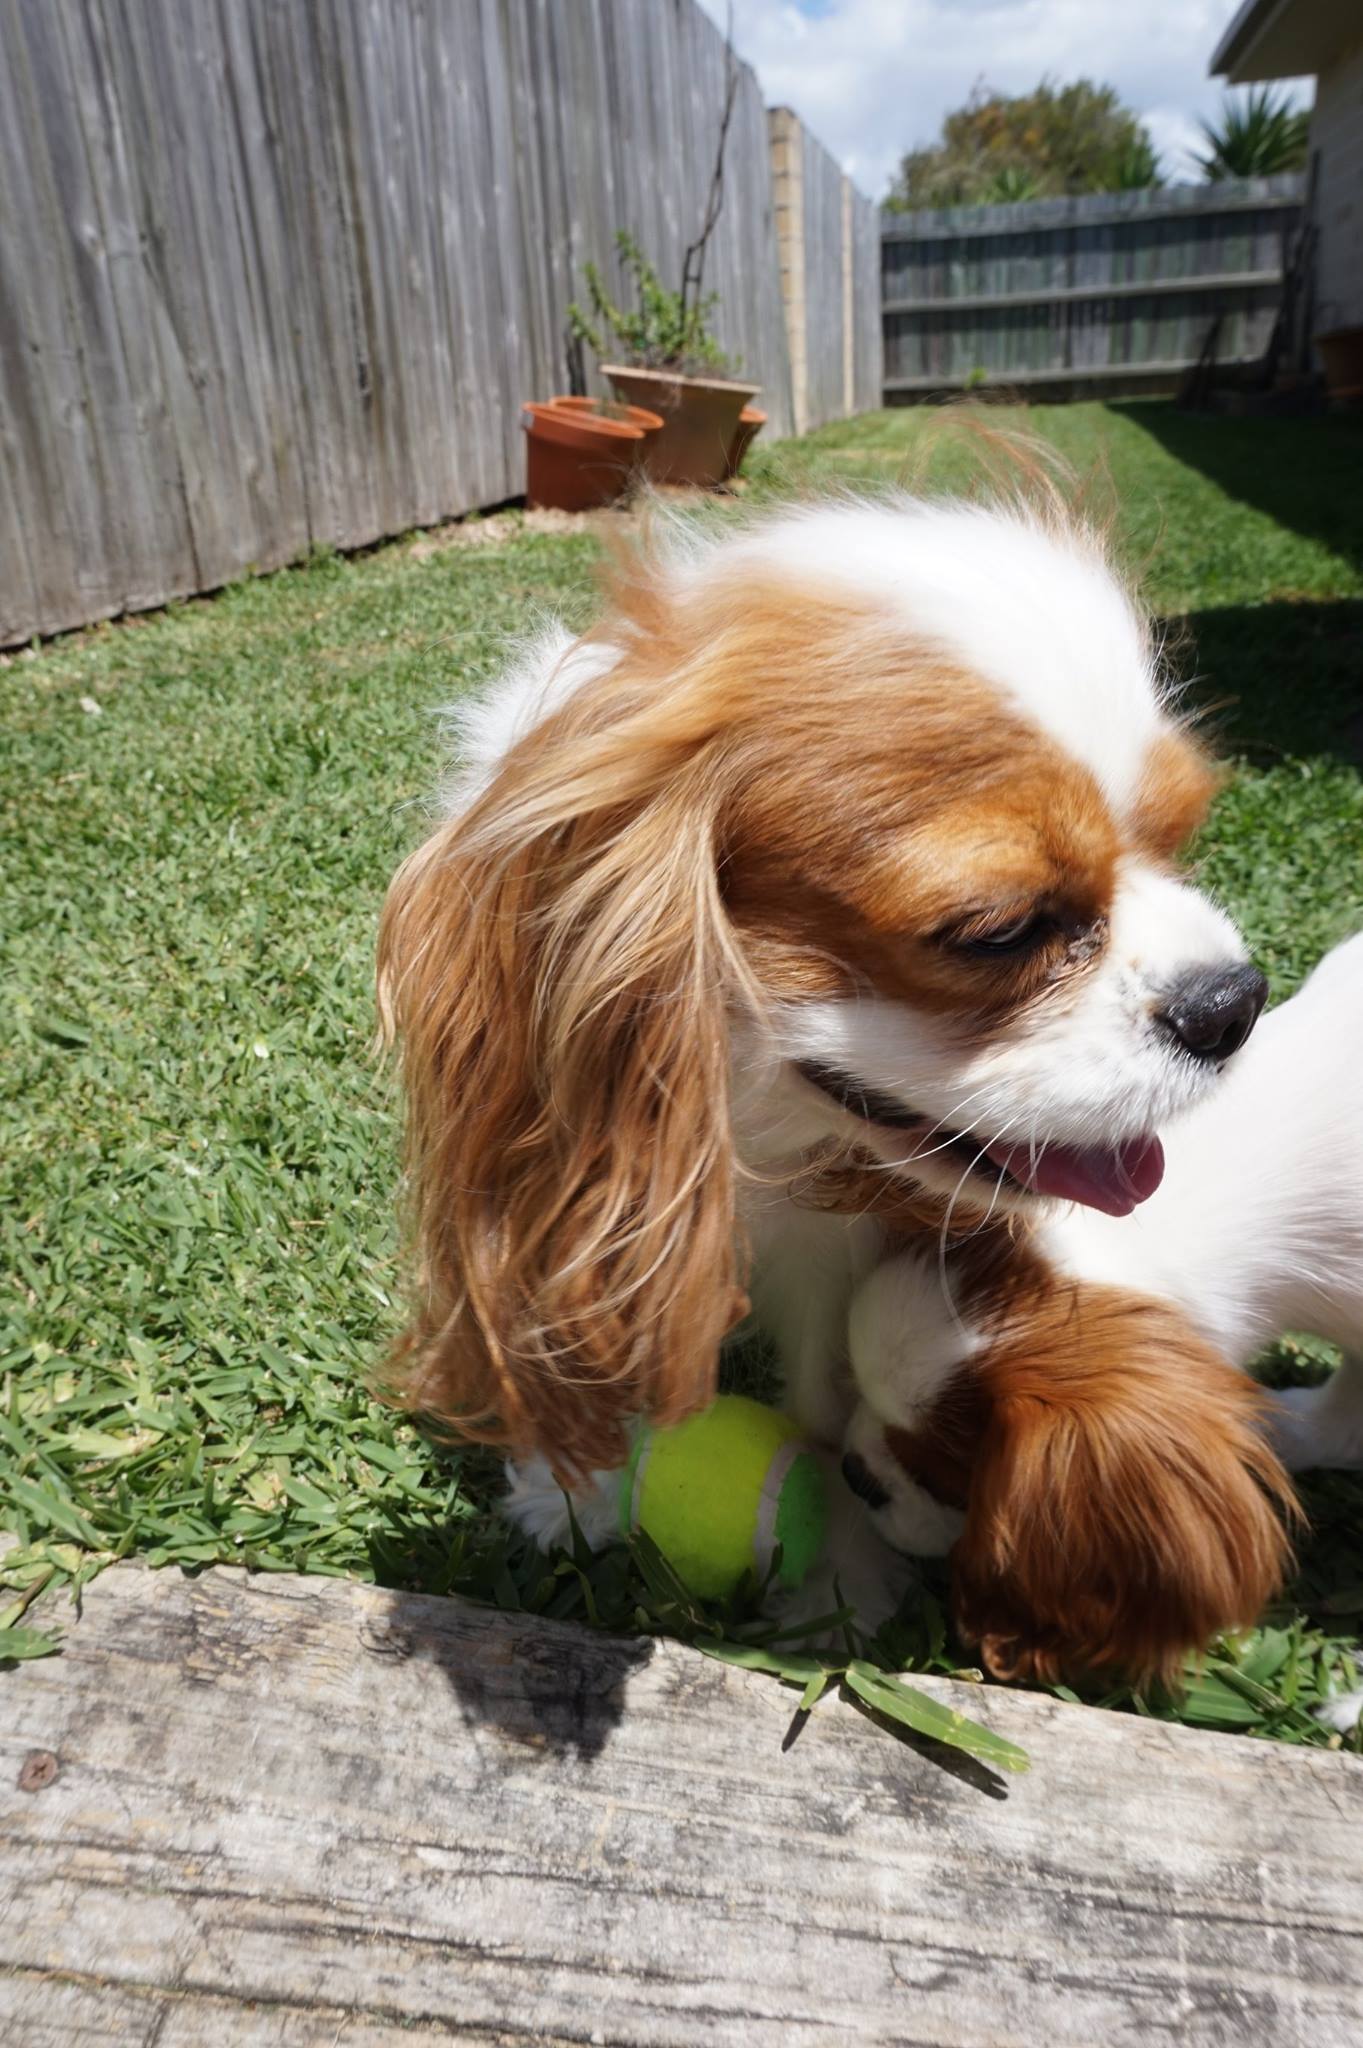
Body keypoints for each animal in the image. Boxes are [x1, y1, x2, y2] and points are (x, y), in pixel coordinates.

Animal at [378, 487, 1285, 1671]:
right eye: (999, 931)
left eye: (1181, 838)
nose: (1231, 1001)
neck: (756, 1140)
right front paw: (575, 1488)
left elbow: (822, 1389)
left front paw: (838, 1568)